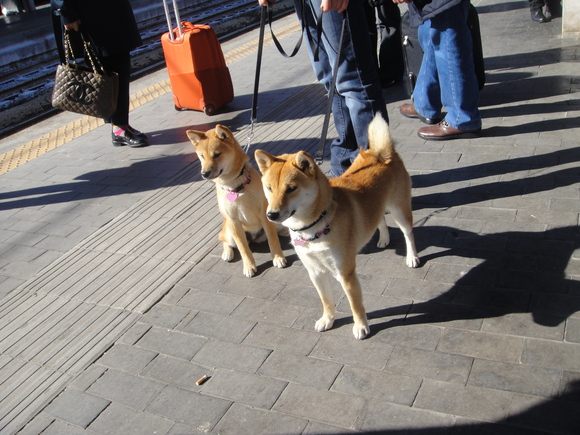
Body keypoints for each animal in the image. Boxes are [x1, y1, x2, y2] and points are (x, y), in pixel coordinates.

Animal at [188, 124, 288, 278]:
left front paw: (278, 258)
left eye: (217, 154)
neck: (236, 188)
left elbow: (273, 240)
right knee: (224, 240)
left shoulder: (265, 214)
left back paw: (283, 231)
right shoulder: (233, 221)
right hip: (229, 231)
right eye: (202, 156)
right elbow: (243, 248)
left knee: (274, 231)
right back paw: (227, 253)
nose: (204, 173)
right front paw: (249, 266)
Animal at [256, 114, 420, 338]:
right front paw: (328, 319)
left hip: (399, 210)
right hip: (379, 205)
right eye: (269, 188)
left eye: (291, 189)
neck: (314, 225)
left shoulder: (345, 272)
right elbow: (326, 300)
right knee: (380, 219)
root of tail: (381, 153)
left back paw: (412, 257)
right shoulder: (315, 271)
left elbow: (355, 305)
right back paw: (384, 239)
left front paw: (361, 326)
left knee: (408, 233)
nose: (271, 214)